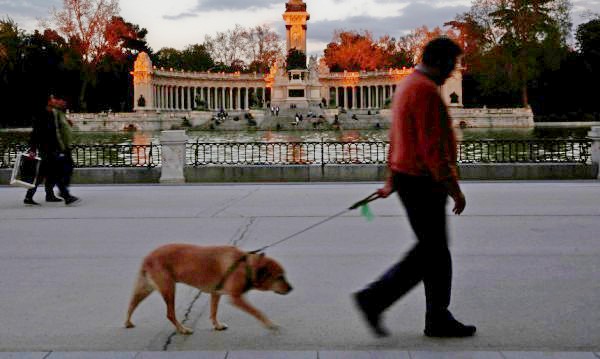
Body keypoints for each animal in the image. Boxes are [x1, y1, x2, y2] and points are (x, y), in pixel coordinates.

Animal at [125, 243, 292, 336]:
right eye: (280, 277)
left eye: (284, 275)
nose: (291, 289)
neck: (247, 266)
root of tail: (148, 257)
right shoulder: (236, 298)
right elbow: (257, 312)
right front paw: (269, 323)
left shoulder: (215, 293)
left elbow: (213, 311)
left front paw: (217, 325)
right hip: (168, 288)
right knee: (170, 314)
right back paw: (183, 329)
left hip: (145, 288)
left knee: (131, 304)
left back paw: (127, 322)